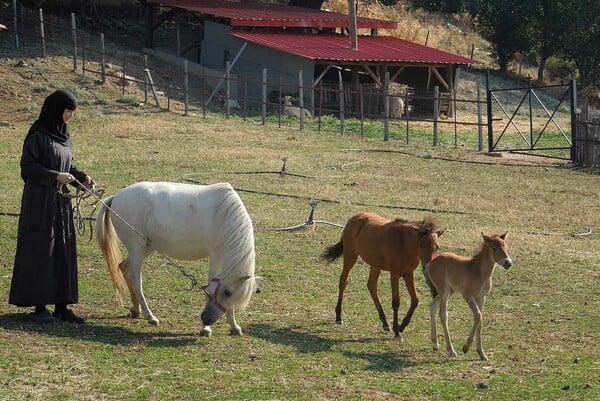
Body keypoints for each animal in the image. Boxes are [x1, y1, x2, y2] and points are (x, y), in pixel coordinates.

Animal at [95, 183, 255, 336]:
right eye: (227, 292)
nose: (206, 319)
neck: (223, 216)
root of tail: (117, 197)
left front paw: (234, 326)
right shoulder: (215, 256)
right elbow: (210, 285)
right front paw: (205, 329)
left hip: (147, 247)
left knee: (124, 267)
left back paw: (135, 309)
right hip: (137, 249)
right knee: (136, 280)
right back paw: (150, 316)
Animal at [424, 231, 512, 360]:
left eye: (505, 246)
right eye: (494, 248)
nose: (508, 263)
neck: (479, 272)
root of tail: (431, 262)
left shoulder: (481, 298)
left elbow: (480, 320)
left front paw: (481, 353)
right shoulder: (467, 296)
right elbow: (478, 315)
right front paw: (465, 347)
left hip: (450, 291)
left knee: (432, 306)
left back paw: (435, 343)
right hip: (444, 290)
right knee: (443, 314)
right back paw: (451, 350)